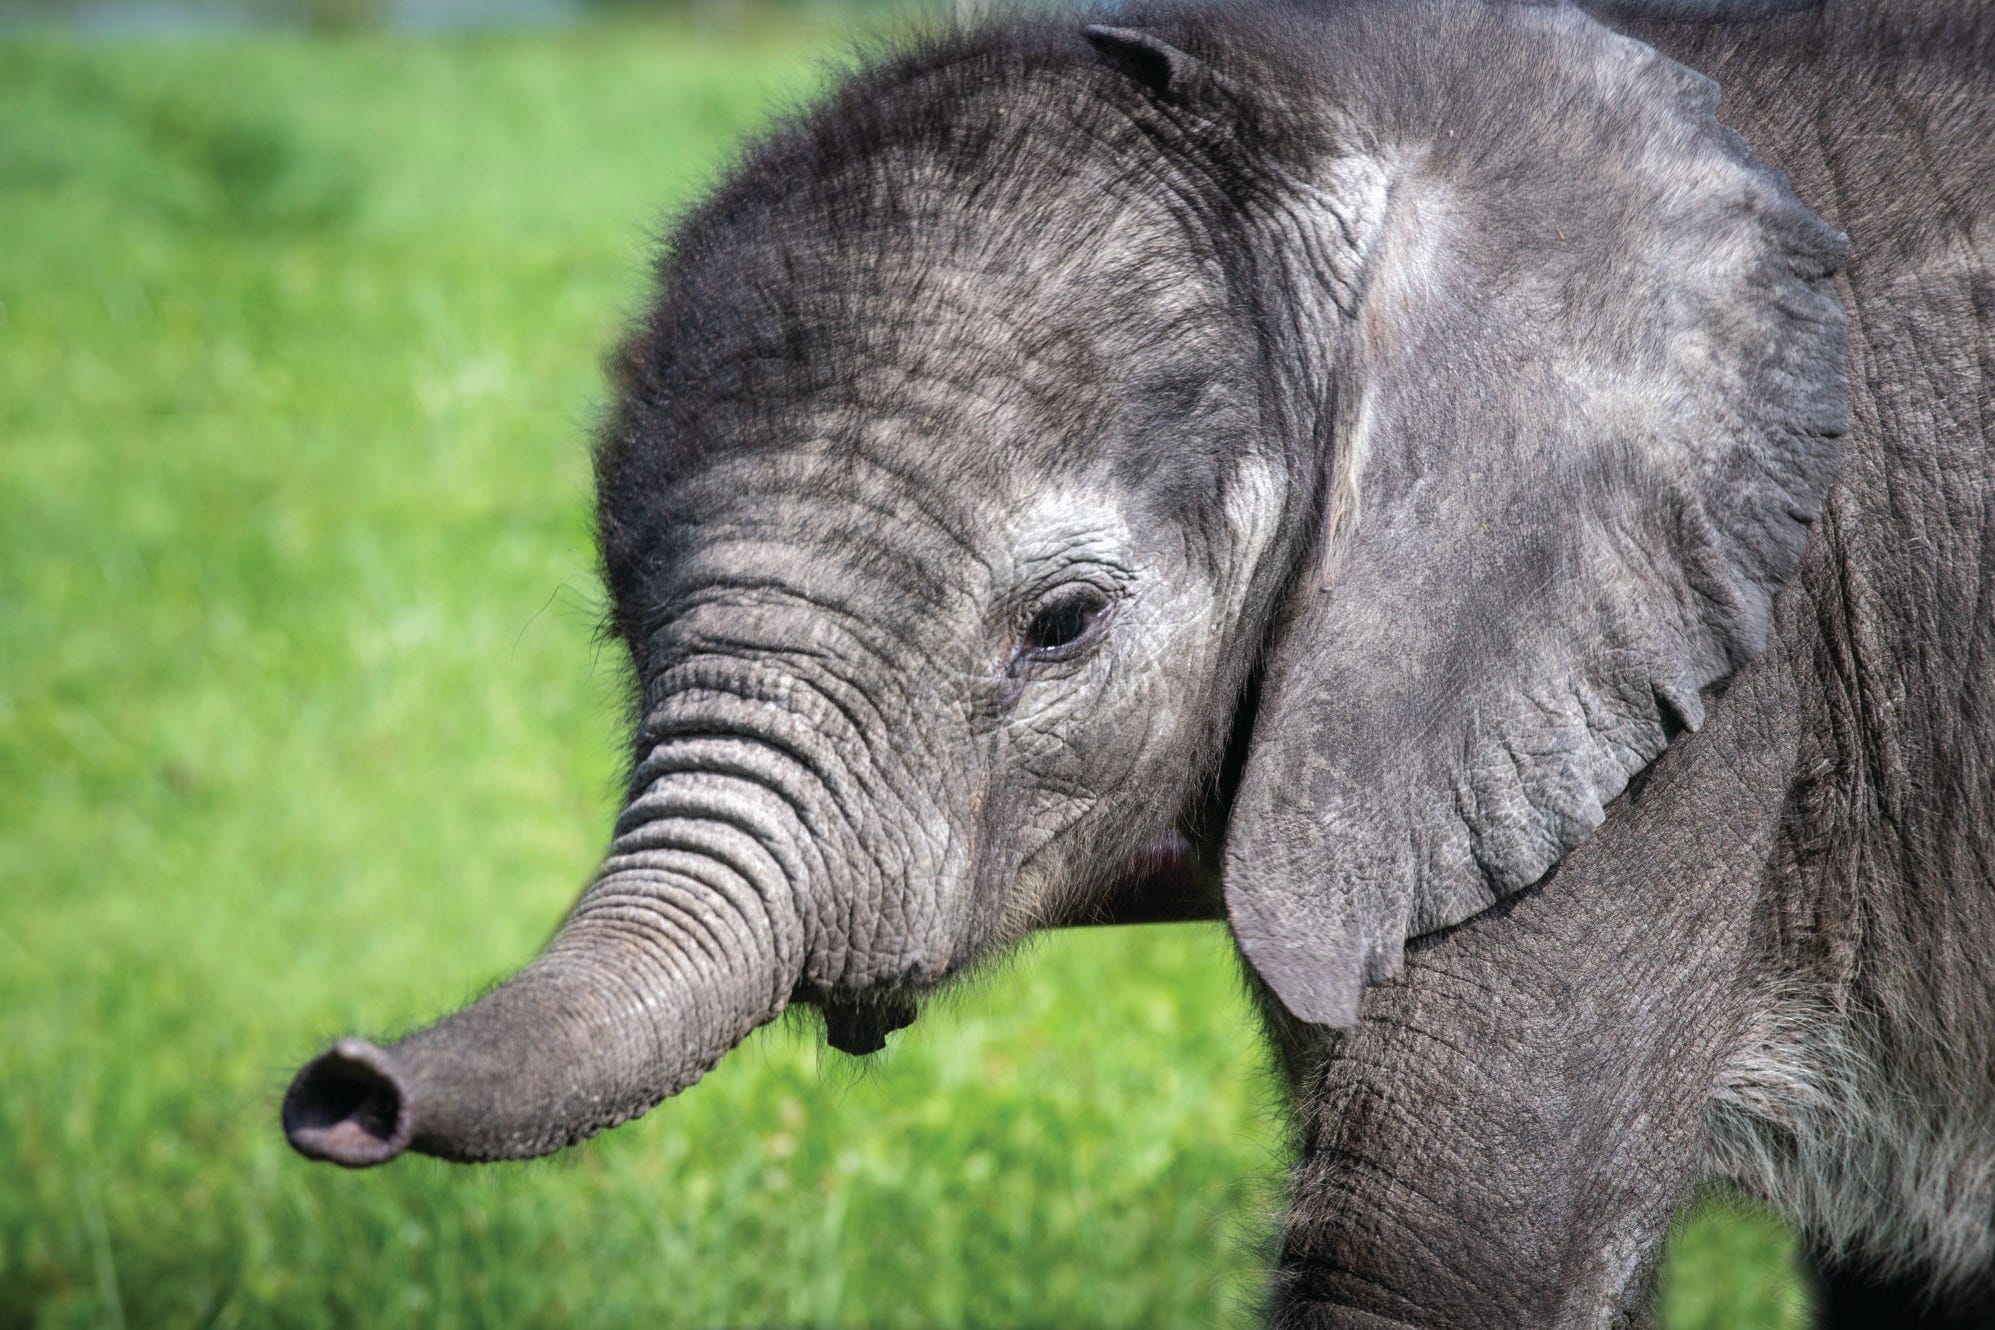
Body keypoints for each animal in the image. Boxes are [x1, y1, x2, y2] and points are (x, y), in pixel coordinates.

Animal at [285, 0, 1995, 1324]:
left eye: (1058, 627)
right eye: (612, 620)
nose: (340, 1088)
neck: (1331, 73)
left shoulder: (1663, 686)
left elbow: (1436, 1257)